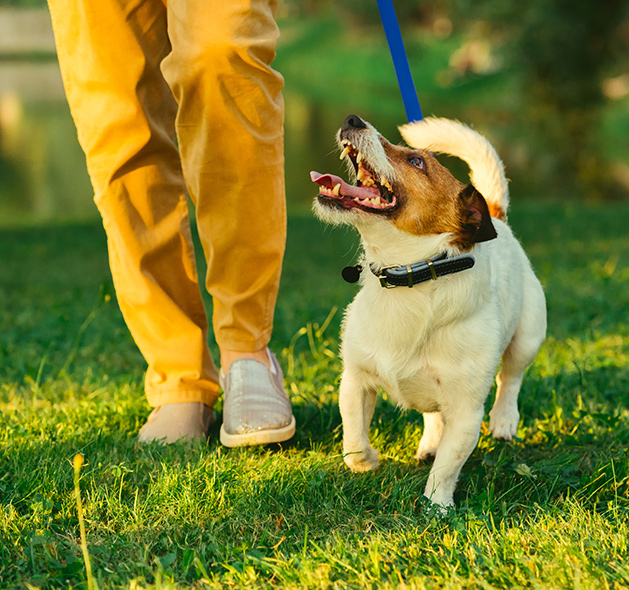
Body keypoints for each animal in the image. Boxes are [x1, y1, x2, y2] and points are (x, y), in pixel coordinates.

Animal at [312, 115, 548, 508]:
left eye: (416, 161)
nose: (352, 119)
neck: (409, 277)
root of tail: (496, 216)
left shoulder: (467, 412)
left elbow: (448, 467)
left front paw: (437, 507)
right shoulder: (355, 379)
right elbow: (354, 435)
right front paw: (367, 461)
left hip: (528, 336)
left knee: (510, 378)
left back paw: (503, 422)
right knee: (434, 416)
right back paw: (430, 444)